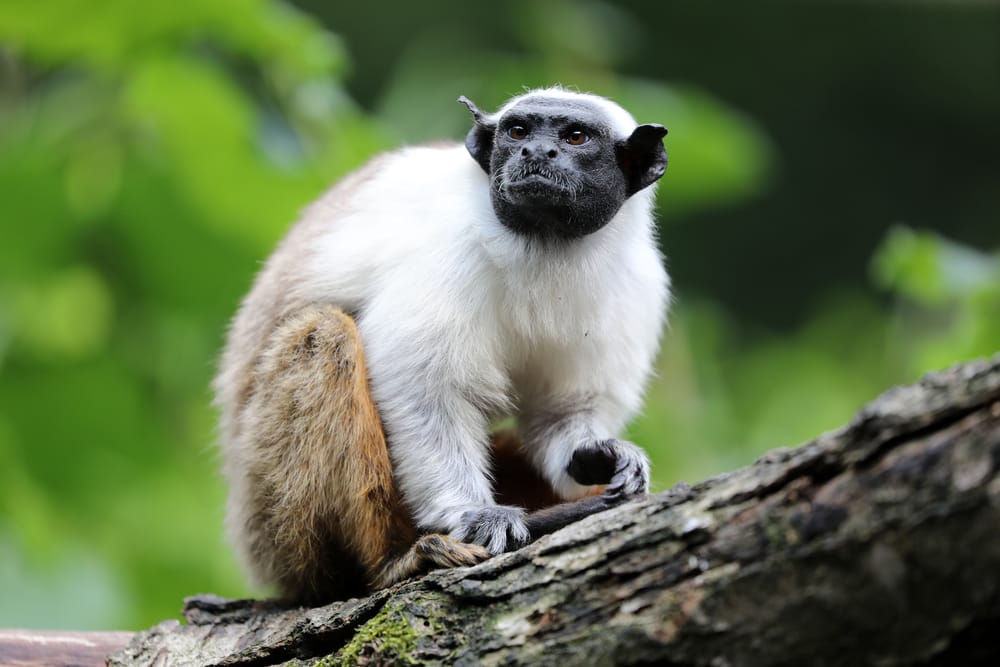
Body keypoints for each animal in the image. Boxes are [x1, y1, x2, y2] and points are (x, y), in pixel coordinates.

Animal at [213, 87, 670, 604]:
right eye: (518, 132)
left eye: (575, 137)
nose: (536, 154)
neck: (543, 246)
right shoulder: (447, 258)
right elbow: (425, 392)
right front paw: (475, 514)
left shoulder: (638, 286)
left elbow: (561, 413)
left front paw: (599, 455)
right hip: (272, 526)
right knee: (324, 336)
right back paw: (394, 561)